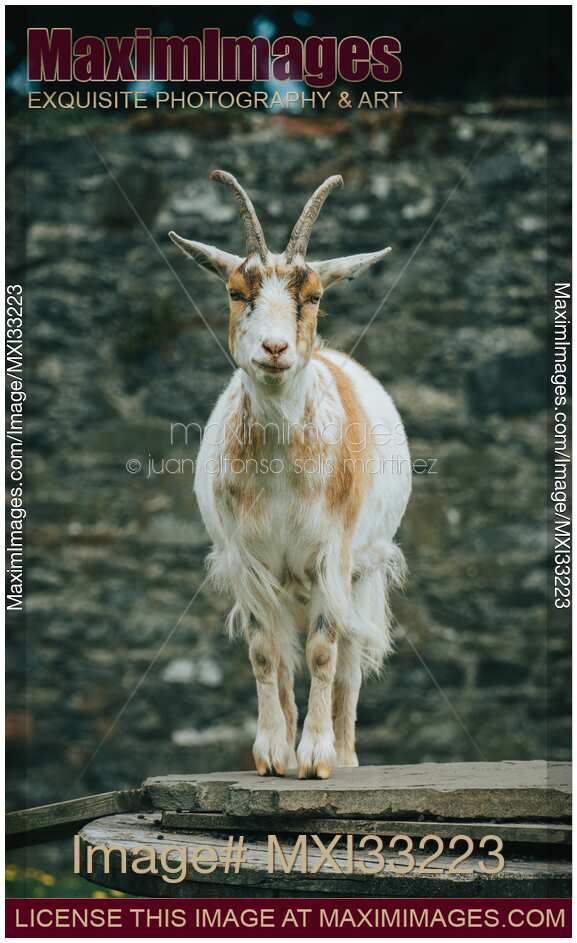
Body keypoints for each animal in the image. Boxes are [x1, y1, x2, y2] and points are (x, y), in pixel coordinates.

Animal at [169, 171, 411, 779]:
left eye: (315, 296)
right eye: (237, 293)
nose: (275, 348)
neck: (281, 470)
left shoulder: (332, 555)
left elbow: (325, 650)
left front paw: (317, 757)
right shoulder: (249, 562)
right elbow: (264, 652)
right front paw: (272, 753)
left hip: (365, 568)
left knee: (348, 658)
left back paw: (346, 754)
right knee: (281, 650)